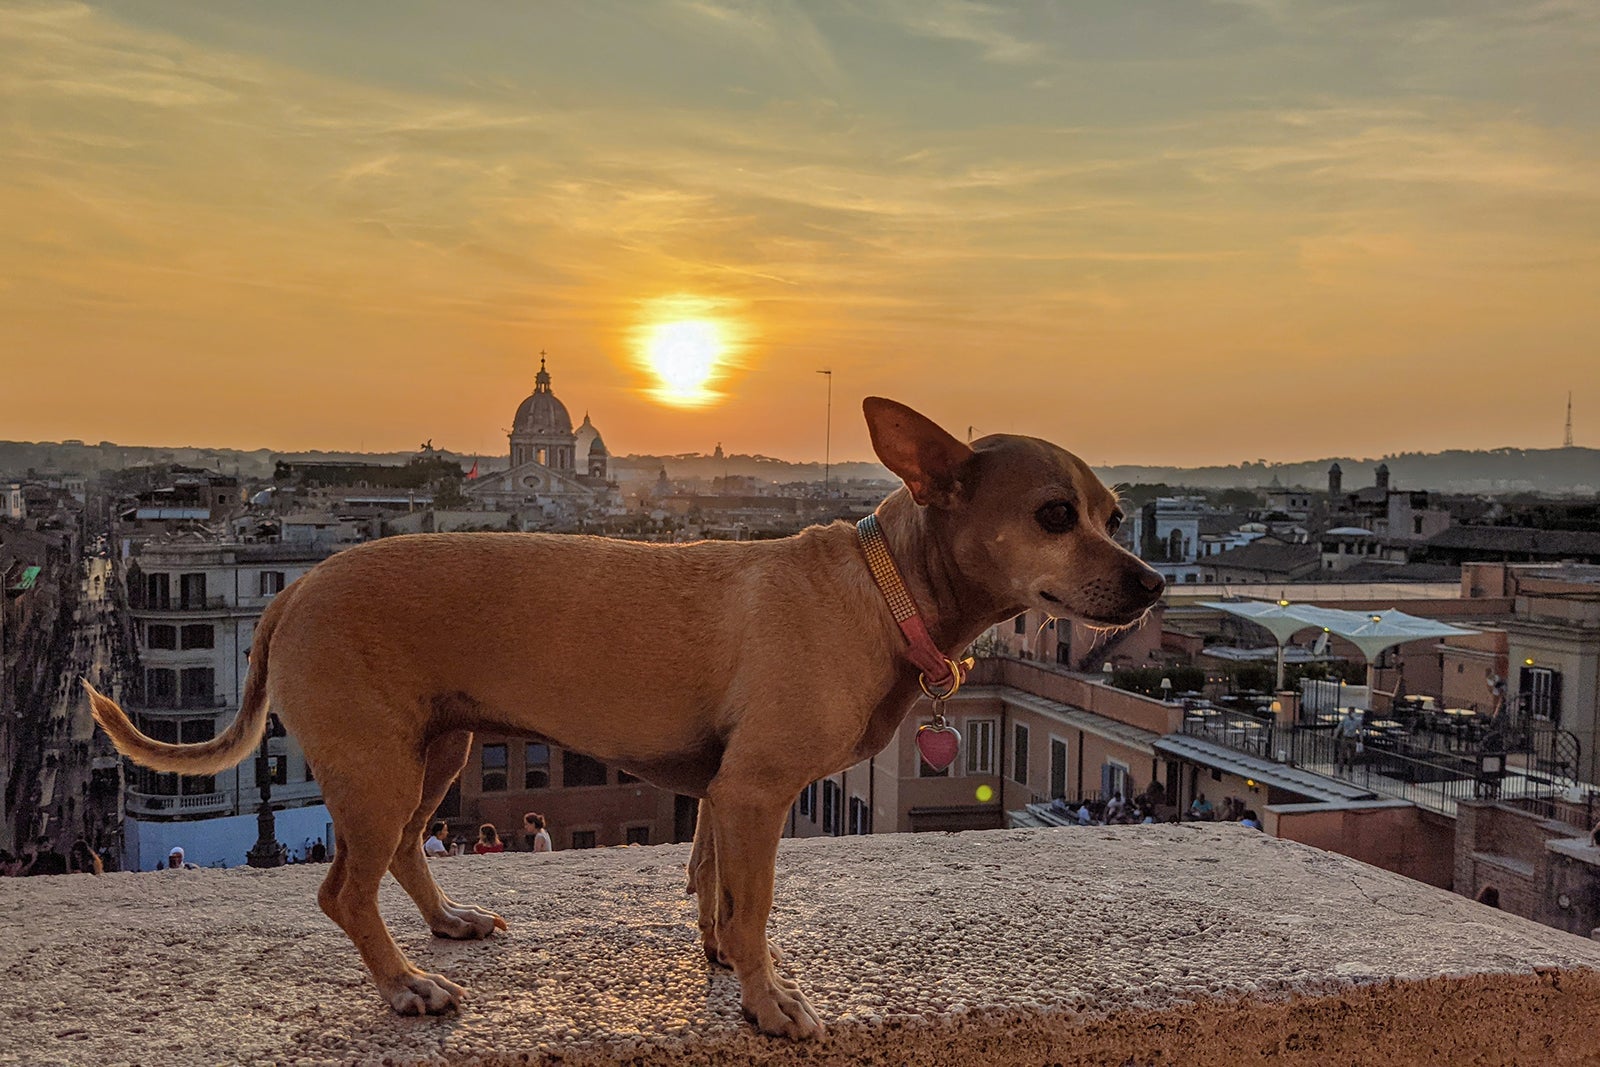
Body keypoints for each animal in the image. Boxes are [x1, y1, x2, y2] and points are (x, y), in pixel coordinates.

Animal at [84, 398, 1164, 1036]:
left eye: (1114, 512)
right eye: (1054, 514)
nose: (1151, 581)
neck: (880, 584)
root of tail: (290, 591)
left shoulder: (722, 794)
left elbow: (715, 891)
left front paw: (729, 963)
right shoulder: (756, 791)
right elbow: (753, 903)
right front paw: (770, 1002)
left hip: (434, 751)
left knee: (400, 853)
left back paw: (446, 923)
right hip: (377, 765)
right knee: (343, 887)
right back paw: (405, 985)